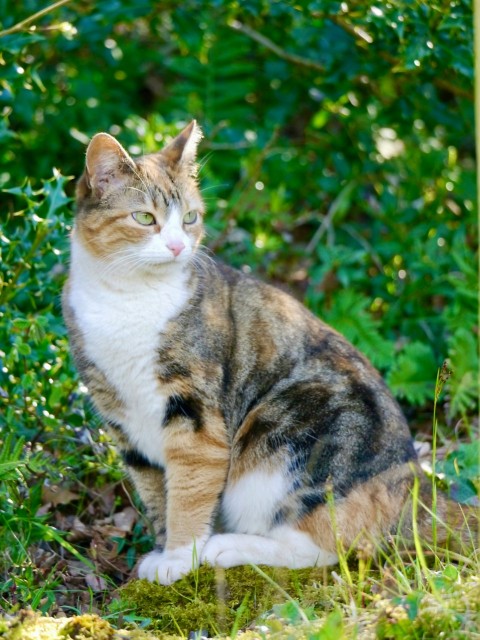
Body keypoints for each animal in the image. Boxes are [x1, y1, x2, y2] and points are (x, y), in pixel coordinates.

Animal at [62, 120, 454, 584]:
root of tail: (415, 493)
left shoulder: (196, 414)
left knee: (327, 547)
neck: (127, 298)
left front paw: (178, 558)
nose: (178, 247)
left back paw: (227, 547)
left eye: (190, 218)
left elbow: (189, 490)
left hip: (288, 433)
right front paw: (162, 550)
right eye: (144, 218)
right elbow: (156, 491)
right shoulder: (123, 421)